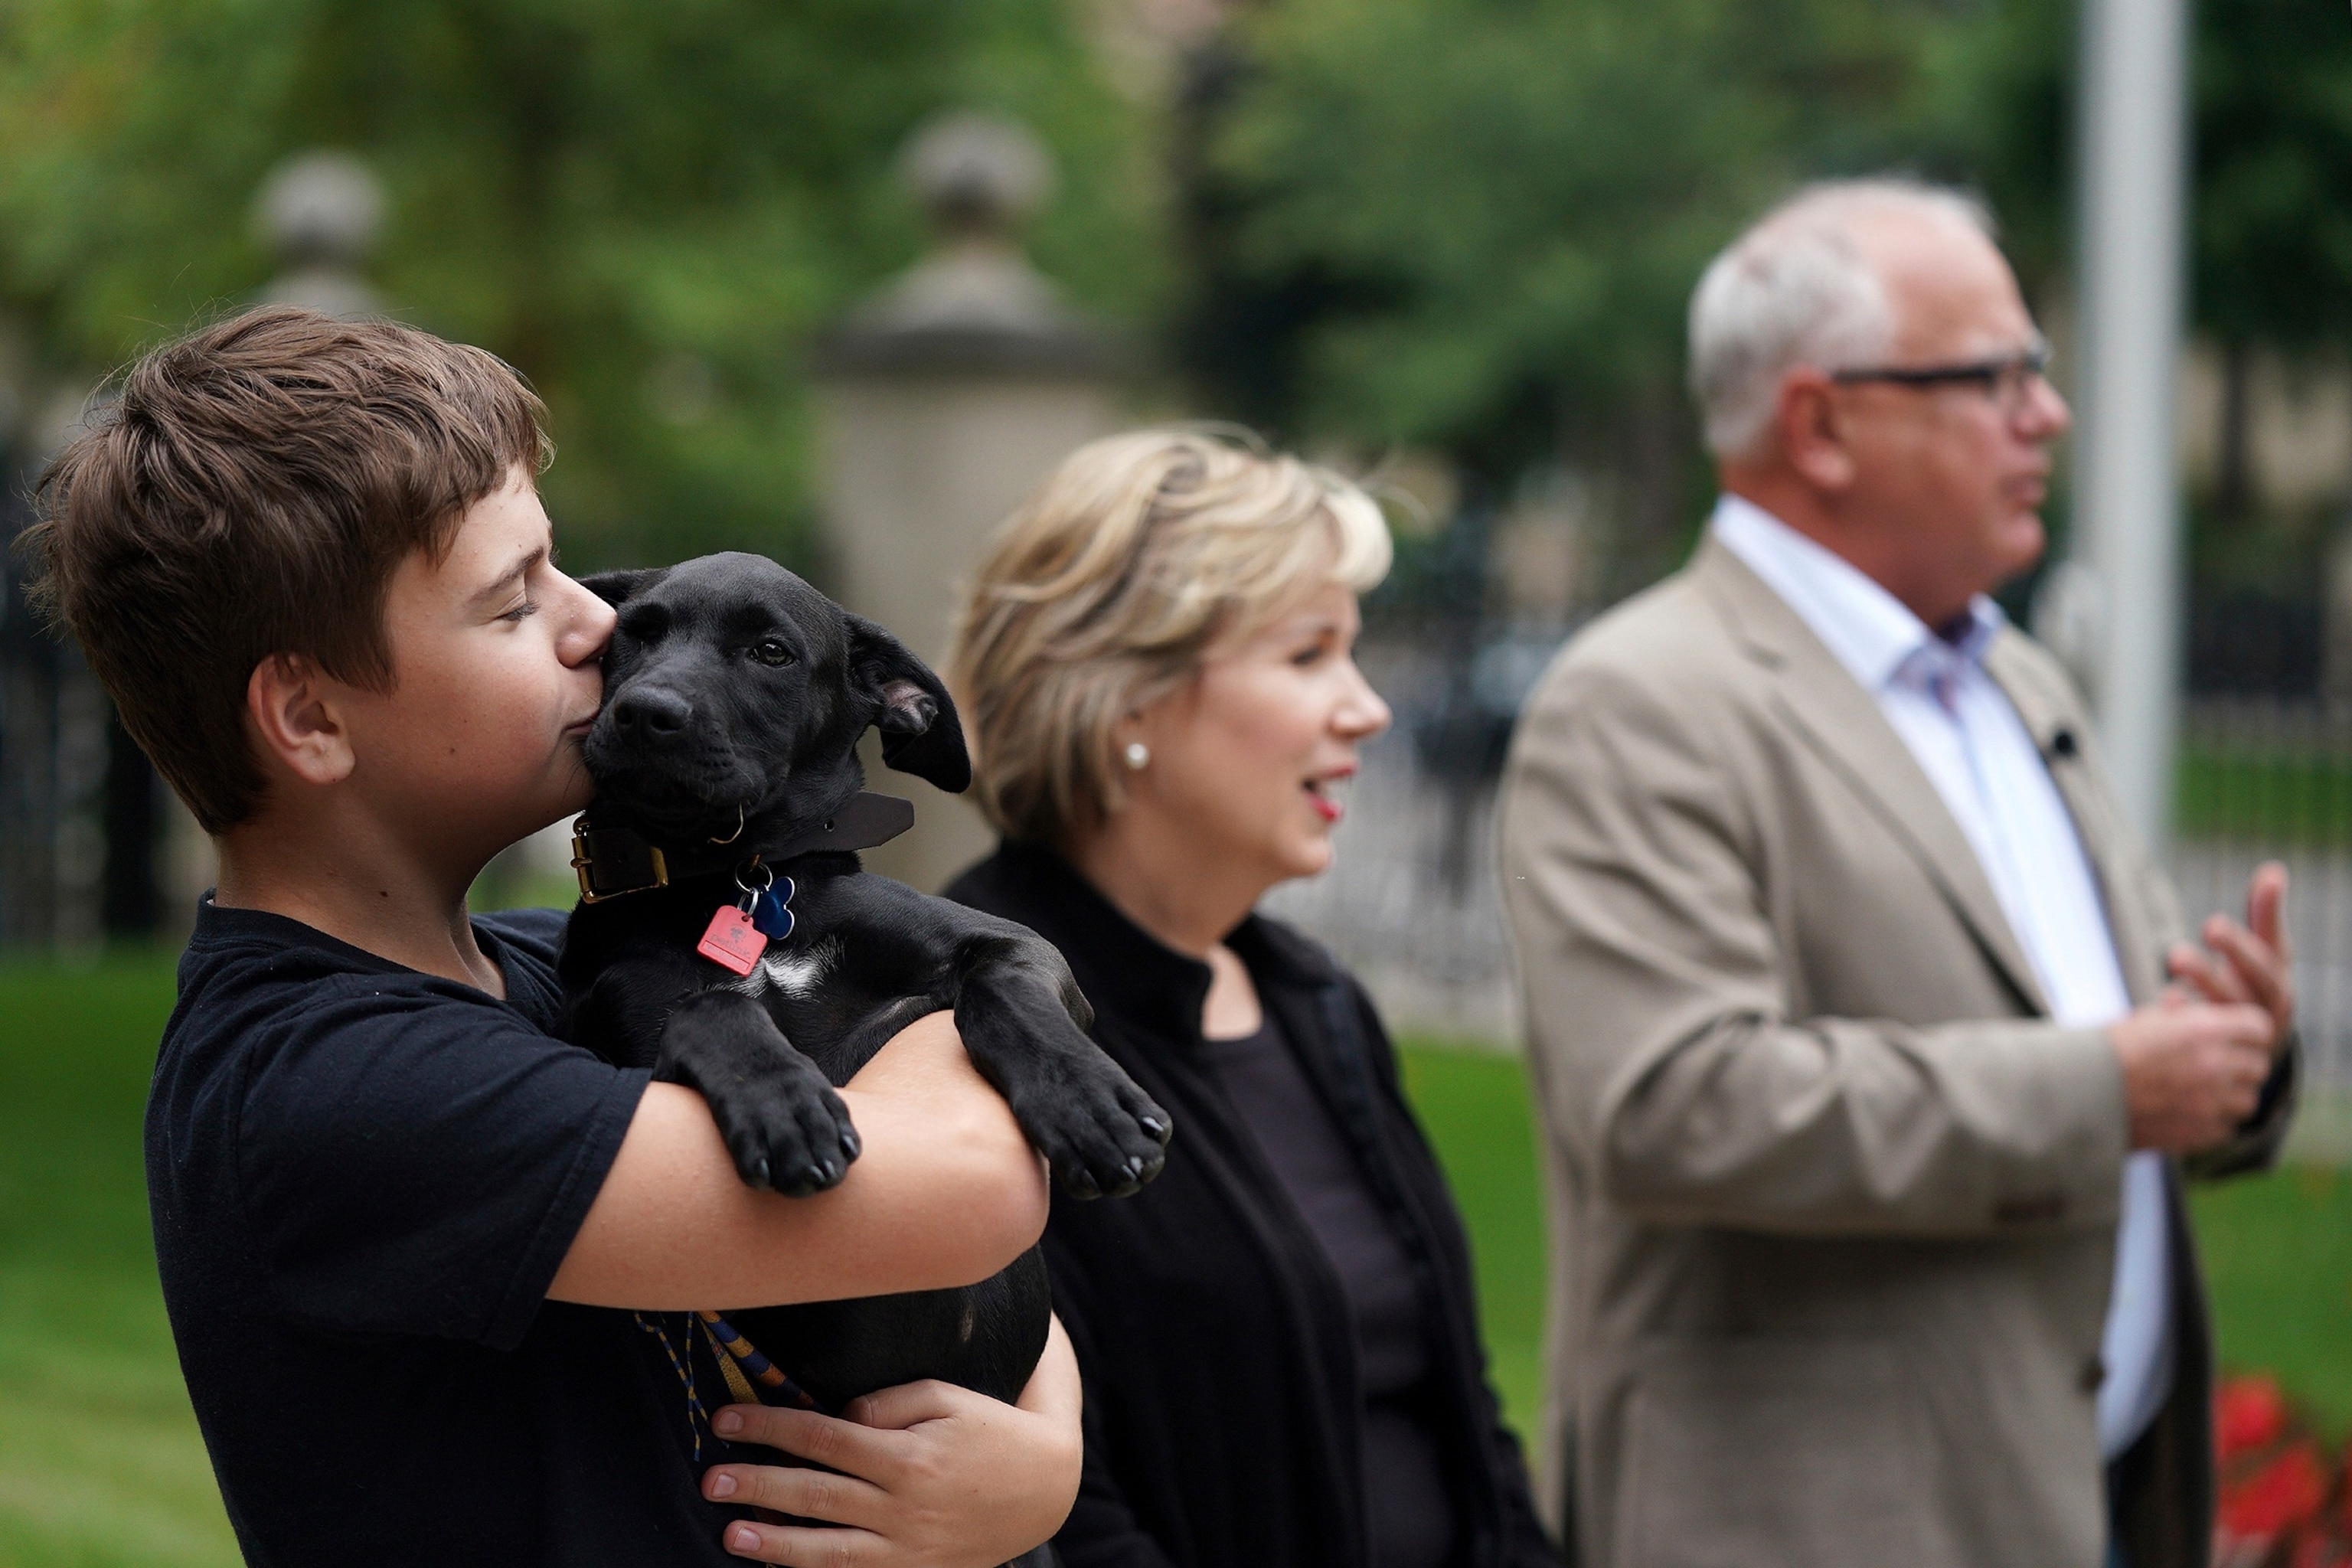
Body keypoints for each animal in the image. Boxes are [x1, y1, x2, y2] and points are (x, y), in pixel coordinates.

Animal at [552, 557, 1176, 1429]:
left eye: (771, 652)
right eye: (635, 634)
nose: (646, 711)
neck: (743, 876)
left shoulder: (1017, 945)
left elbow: (999, 993)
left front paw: (1092, 1107)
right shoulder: (623, 1028)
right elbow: (711, 1003)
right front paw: (784, 1103)